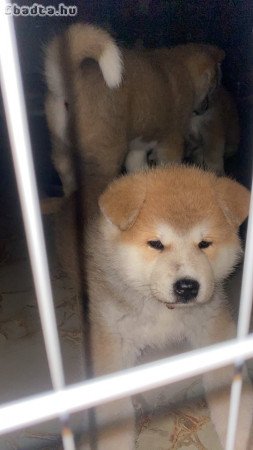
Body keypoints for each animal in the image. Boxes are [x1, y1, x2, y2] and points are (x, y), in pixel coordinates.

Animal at [45, 22, 223, 195]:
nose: (206, 107)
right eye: (212, 87)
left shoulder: (138, 147)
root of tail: (71, 80)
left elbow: (137, 166)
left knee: (65, 171)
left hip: (60, 146)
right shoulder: (171, 140)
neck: (184, 70)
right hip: (105, 157)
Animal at [55, 166, 253, 450]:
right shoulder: (113, 340)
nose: (187, 287)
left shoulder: (213, 326)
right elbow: (113, 411)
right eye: (156, 244)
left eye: (204, 244)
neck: (164, 310)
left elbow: (232, 395)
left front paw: (241, 433)